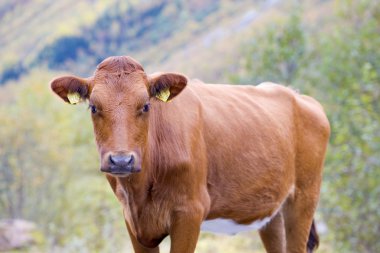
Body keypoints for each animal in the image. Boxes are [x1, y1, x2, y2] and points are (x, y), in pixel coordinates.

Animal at [49, 55, 330, 253]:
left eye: (146, 105)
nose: (121, 160)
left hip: (304, 196)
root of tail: (298, 96)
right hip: (270, 212)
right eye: (94, 107)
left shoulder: (190, 213)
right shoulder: (133, 221)